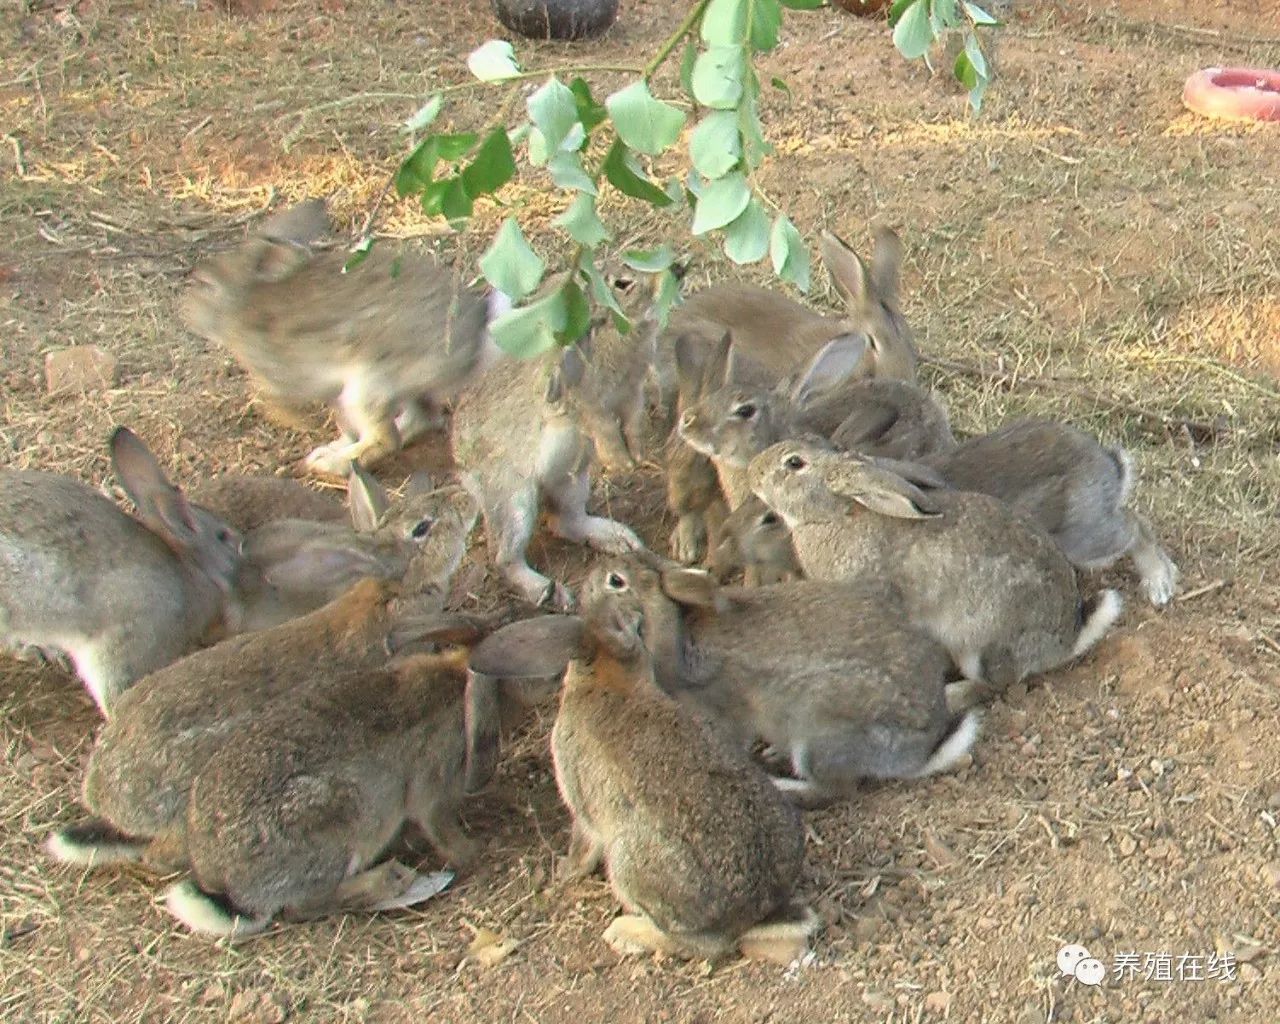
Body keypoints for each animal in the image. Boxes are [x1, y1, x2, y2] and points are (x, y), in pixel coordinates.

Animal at [183, 199, 512, 481]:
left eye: (205, 285)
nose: (185, 311)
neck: (241, 301)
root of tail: (473, 346)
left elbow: (275, 398)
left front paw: (295, 421)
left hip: (366, 384)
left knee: (386, 438)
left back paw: (331, 464)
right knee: (421, 419)